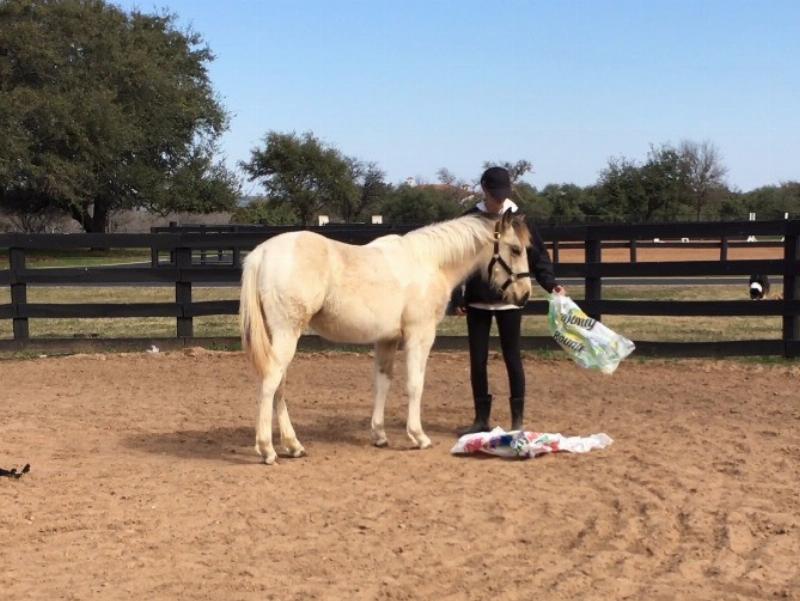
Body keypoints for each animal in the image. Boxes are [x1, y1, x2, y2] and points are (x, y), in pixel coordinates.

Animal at [239, 209, 533, 464]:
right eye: (516, 249)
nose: (525, 295)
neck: (429, 263)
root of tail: (261, 253)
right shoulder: (420, 335)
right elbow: (415, 385)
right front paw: (418, 436)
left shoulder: (386, 340)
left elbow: (382, 382)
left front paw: (379, 435)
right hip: (287, 334)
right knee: (271, 382)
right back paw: (267, 450)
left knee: (279, 386)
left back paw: (293, 445)